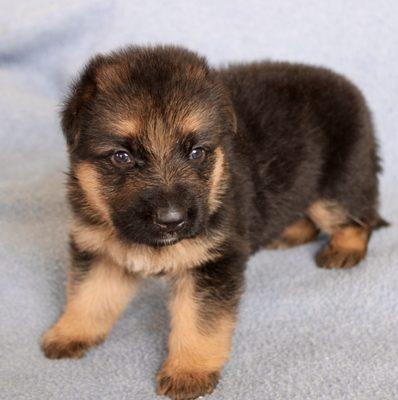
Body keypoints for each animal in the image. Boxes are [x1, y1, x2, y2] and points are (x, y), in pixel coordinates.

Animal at [41, 46, 386, 400]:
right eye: (122, 157)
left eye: (196, 152)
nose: (172, 220)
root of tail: (347, 85)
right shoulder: (101, 251)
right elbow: (89, 295)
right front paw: (70, 332)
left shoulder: (212, 264)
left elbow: (198, 322)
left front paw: (188, 371)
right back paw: (289, 233)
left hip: (338, 184)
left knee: (358, 217)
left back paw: (344, 249)